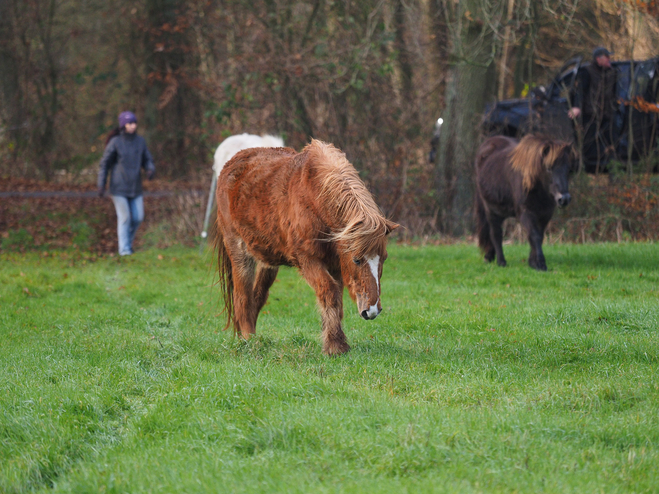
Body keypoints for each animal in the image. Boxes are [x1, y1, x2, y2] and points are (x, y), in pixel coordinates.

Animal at [215, 139, 398, 356]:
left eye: (383, 258)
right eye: (357, 259)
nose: (372, 310)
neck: (315, 198)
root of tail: (230, 165)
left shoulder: (336, 265)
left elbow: (337, 300)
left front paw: (334, 341)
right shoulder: (308, 260)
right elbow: (328, 292)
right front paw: (335, 346)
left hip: (268, 261)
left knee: (257, 296)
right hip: (240, 253)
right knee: (242, 297)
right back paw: (250, 341)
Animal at [476, 135, 576, 270]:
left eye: (569, 170)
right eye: (549, 168)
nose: (564, 199)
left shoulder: (545, 214)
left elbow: (539, 236)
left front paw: (532, 262)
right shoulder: (526, 212)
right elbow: (534, 235)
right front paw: (540, 263)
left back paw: (490, 256)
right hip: (491, 211)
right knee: (496, 234)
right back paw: (501, 261)